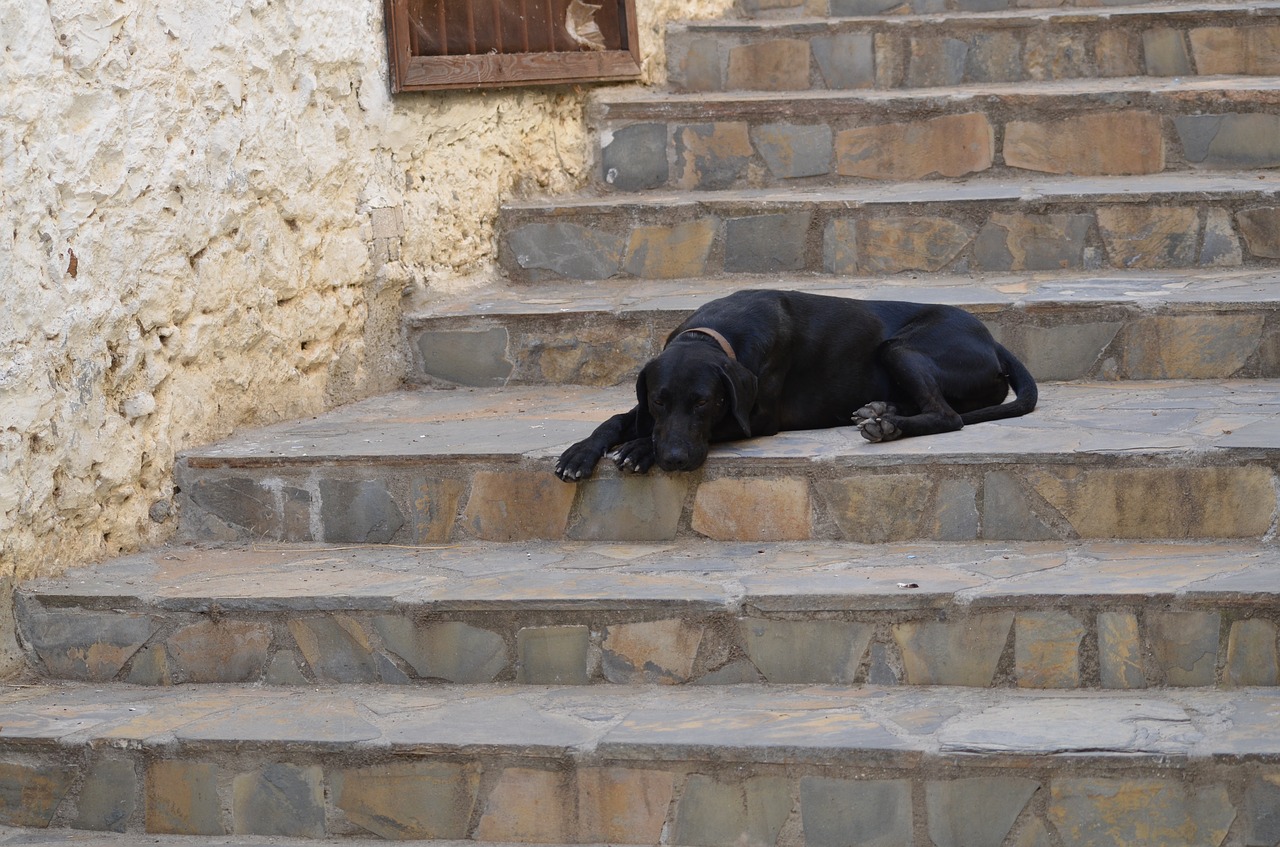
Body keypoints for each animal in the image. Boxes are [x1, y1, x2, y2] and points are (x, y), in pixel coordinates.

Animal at [555, 290, 1034, 478]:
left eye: (705, 403)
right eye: (659, 401)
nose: (673, 460)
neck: (714, 332)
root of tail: (992, 340)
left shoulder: (756, 419)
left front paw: (639, 449)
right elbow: (616, 419)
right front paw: (579, 453)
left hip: (900, 348)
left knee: (948, 416)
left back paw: (887, 426)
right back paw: (880, 413)